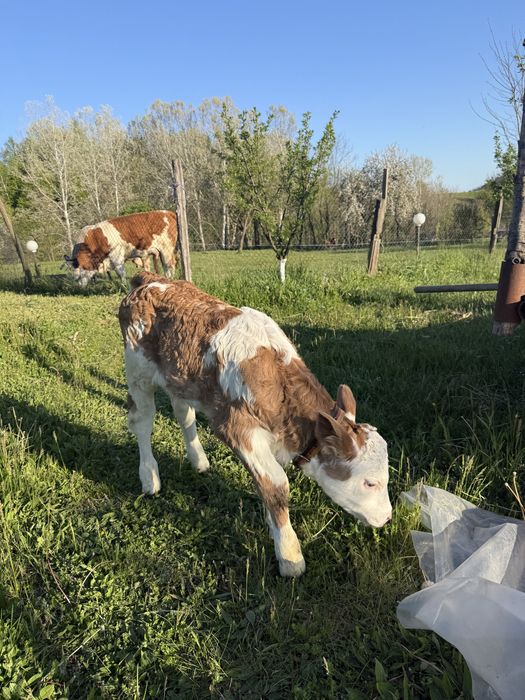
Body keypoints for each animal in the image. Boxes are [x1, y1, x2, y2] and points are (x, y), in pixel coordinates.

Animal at [119, 273, 392, 577]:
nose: (387, 517)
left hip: (180, 377)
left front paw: (273, 526)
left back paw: (198, 461)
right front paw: (289, 556)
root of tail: (151, 280)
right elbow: (276, 484)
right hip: (137, 371)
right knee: (142, 420)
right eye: (369, 482)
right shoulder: (238, 429)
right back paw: (149, 478)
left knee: (183, 413)